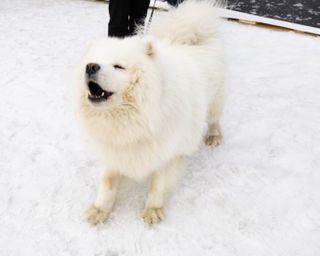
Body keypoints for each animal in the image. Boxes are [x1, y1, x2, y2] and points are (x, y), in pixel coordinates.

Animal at [74, 1, 226, 225]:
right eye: (91, 61)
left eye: (118, 66)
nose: (90, 66)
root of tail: (194, 37)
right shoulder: (114, 150)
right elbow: (107, 183)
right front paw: (99, 210)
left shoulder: (169, 152)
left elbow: (158, 185)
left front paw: (152, 211)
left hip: (215, 102)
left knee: (214, 120)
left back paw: (214, 137)